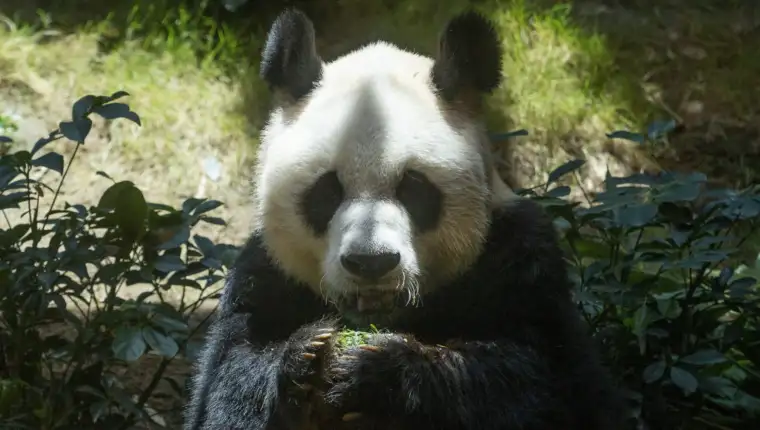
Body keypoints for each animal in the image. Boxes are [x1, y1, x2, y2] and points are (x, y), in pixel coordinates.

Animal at [184, 7, 627, 430]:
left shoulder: (520, 264)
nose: (371, 263)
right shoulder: (264, 277)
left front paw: (381, 371)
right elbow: (225, 387)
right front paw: (305, 357)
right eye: (327, 191)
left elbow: (546, 385)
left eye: (414, 188)